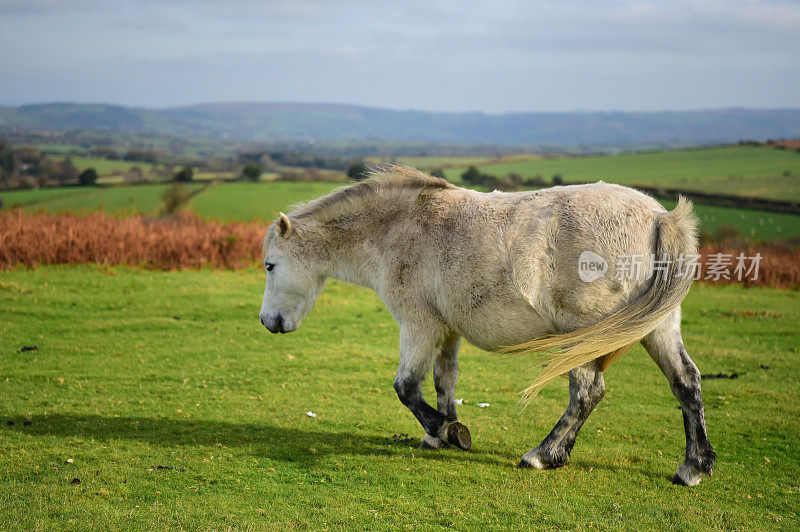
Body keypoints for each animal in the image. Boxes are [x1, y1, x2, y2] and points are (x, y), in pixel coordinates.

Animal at [260, 167, 716, 486]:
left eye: (269, 265)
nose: (268, 322)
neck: (401, 228)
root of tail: (659, 218)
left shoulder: (418, 326)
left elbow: (406, 387)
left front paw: (448, 431)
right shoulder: (445, 330)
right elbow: (443, 381)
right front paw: (439, 435)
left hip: (585, 335)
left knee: (587, 392)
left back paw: (542, 455)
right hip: (656, 328)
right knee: (685, 382)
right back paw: (692, 467)